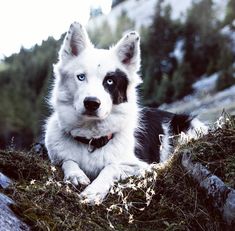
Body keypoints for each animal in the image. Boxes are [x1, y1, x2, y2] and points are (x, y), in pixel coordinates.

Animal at [45, 21, 207, 202]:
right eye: (81, 77)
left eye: (109, 81)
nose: (92, 103)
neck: (91, 141)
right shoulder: (57, 158)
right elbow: (68, 161)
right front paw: (76, 175)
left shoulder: (138, 165)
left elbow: (111, 167)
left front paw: (95, 190)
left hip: (187, 126)